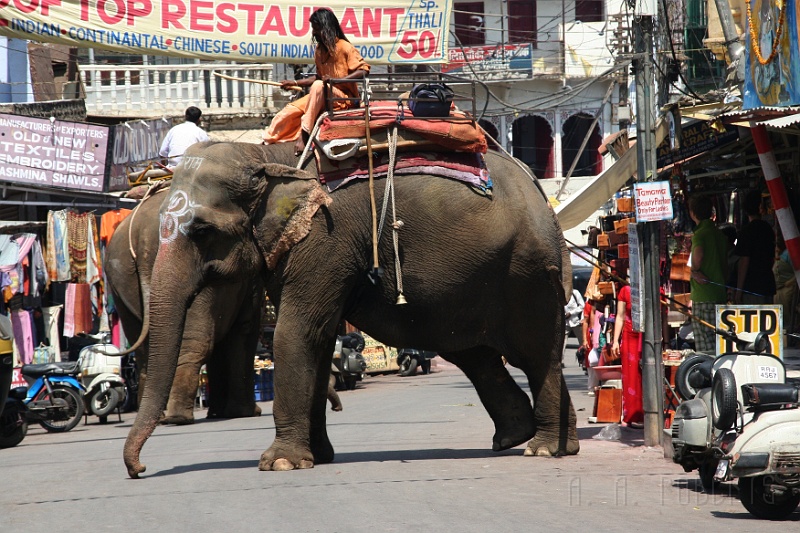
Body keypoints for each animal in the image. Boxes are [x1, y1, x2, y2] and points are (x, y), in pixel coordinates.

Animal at [105, 189, 343, 425]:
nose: (337, 408)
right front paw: (246, 412)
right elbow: (245, 330)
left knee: (144, 350)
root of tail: (142, 238)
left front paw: (220, 413)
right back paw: (178, 418)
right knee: (198, 341)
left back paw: (164, 417)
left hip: (121, 280)